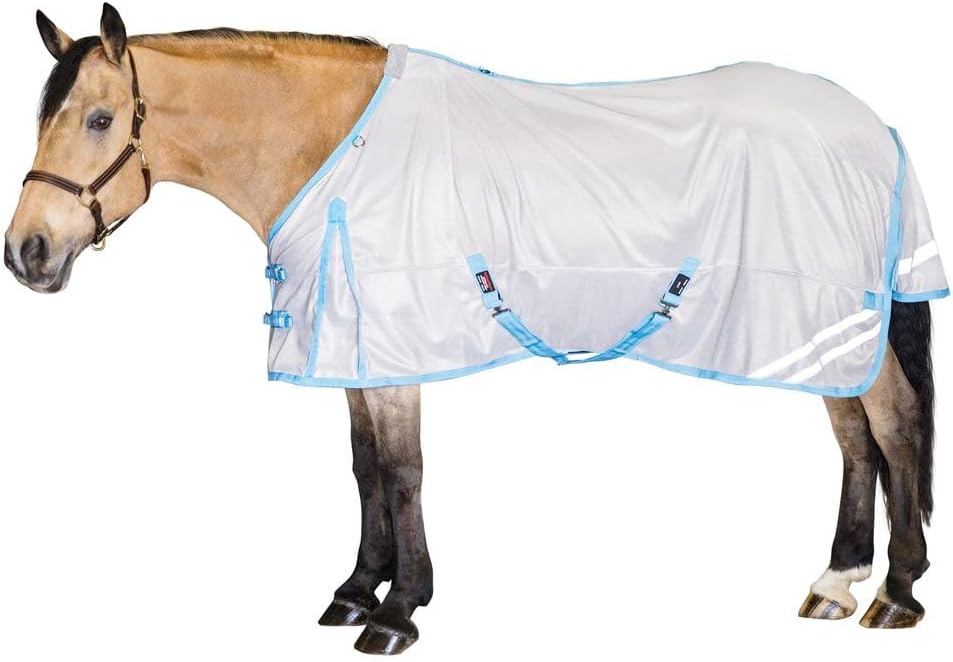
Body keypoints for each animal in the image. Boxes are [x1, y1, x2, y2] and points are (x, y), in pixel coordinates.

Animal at [4, 4, 943, 655]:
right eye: (42, 118)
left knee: (893, 426)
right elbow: (363, 470)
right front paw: (355, 590)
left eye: (97, 120)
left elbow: (403, 472)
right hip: (821, 330)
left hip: (834, 320)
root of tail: (876, 130)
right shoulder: (354, 348)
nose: (26, 252)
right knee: (853, 438)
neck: (338, 150)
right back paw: (836, 581)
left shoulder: (395, 346)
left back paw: (895, 593)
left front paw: (397, 611)